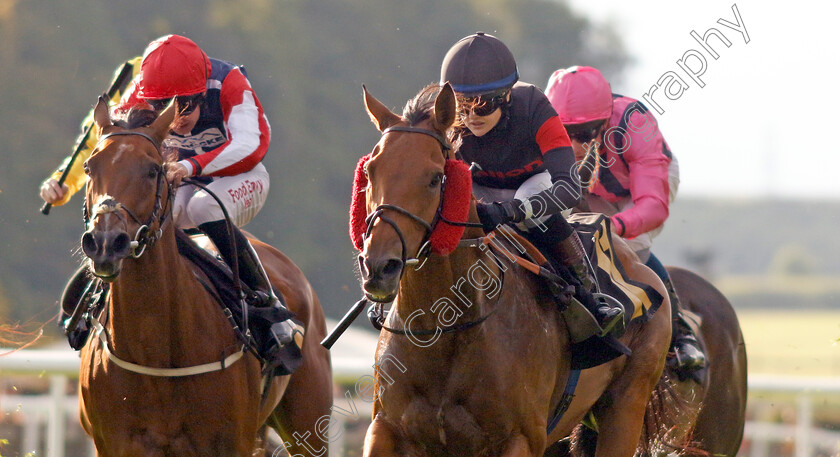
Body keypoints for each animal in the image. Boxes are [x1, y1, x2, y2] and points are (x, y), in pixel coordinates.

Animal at [76, 94, 332, 454]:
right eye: (89, 167)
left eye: (152, 170)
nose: (105, 243)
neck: (155, 354)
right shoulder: (116, 444)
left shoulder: (229, 443)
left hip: (308, 424)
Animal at [354, 83, 676, 456]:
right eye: (370, 172)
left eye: (435, 178)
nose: (379, 267)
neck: (444, 327)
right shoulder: (385, 429)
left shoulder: (520, 438)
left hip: (626, 405)